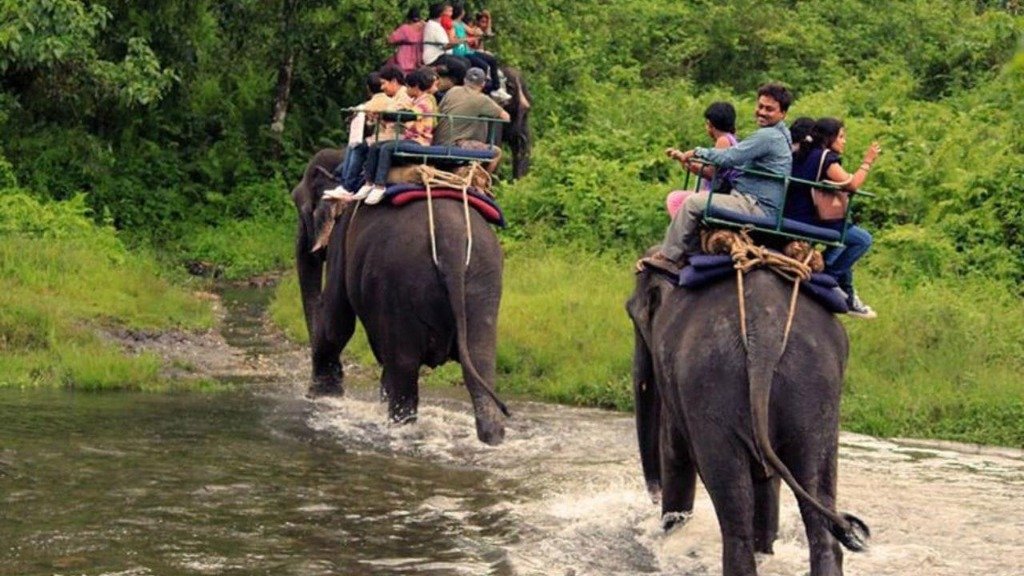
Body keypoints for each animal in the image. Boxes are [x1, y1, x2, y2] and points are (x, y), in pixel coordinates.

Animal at [291, 149, 509, 445]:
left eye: (299, 206)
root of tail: (451, 244)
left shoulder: (340, 240)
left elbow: (335, 320)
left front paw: (321, 397)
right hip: (483, 281)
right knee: (480, 363)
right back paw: (492, 438)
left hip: (401, 283)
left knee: (403, 367)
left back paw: (399, 429)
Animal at [626, 264, 868, 576]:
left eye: (632, 312)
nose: (654, 496)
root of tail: (764, 337)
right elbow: (768, 479)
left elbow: (675, 455)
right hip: (817, 389)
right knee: (817, 491)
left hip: (712, 388)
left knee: (733, 509)